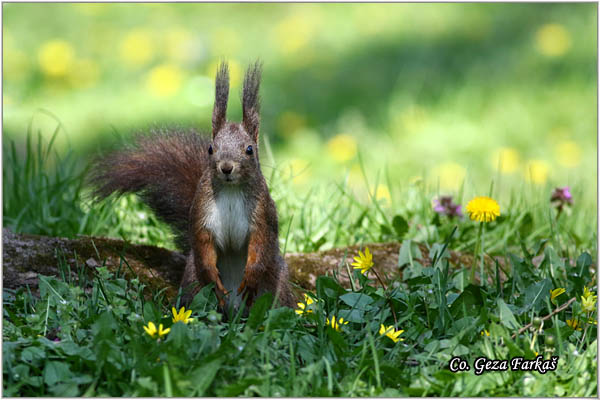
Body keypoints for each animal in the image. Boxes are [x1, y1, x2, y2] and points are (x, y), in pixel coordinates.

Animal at [90, 61, 294, 312]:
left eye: (249, 149)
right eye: (210, 148)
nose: (226, 168)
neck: (231, 190)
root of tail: (233, 311)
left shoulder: (263, 213)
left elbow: (261, 244)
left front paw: (250, 278)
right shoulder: (202, 211)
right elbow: (202, 243)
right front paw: (213, 279)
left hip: (275, 285)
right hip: (193, 283)